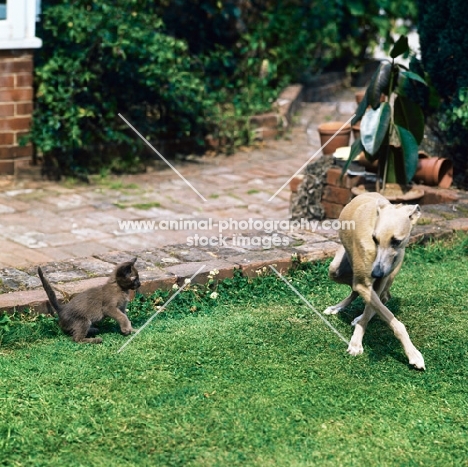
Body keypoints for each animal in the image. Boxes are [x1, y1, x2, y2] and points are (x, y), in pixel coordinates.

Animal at [324, 192, 426, 372]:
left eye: (396, 241)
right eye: (375, 239)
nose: (376, 272)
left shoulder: (380, 281)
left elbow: (376, 311)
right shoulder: (364, 282)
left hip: (388, 275)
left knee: (383, 298)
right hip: (335, 269)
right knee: (355, 289)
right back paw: (337, 307)